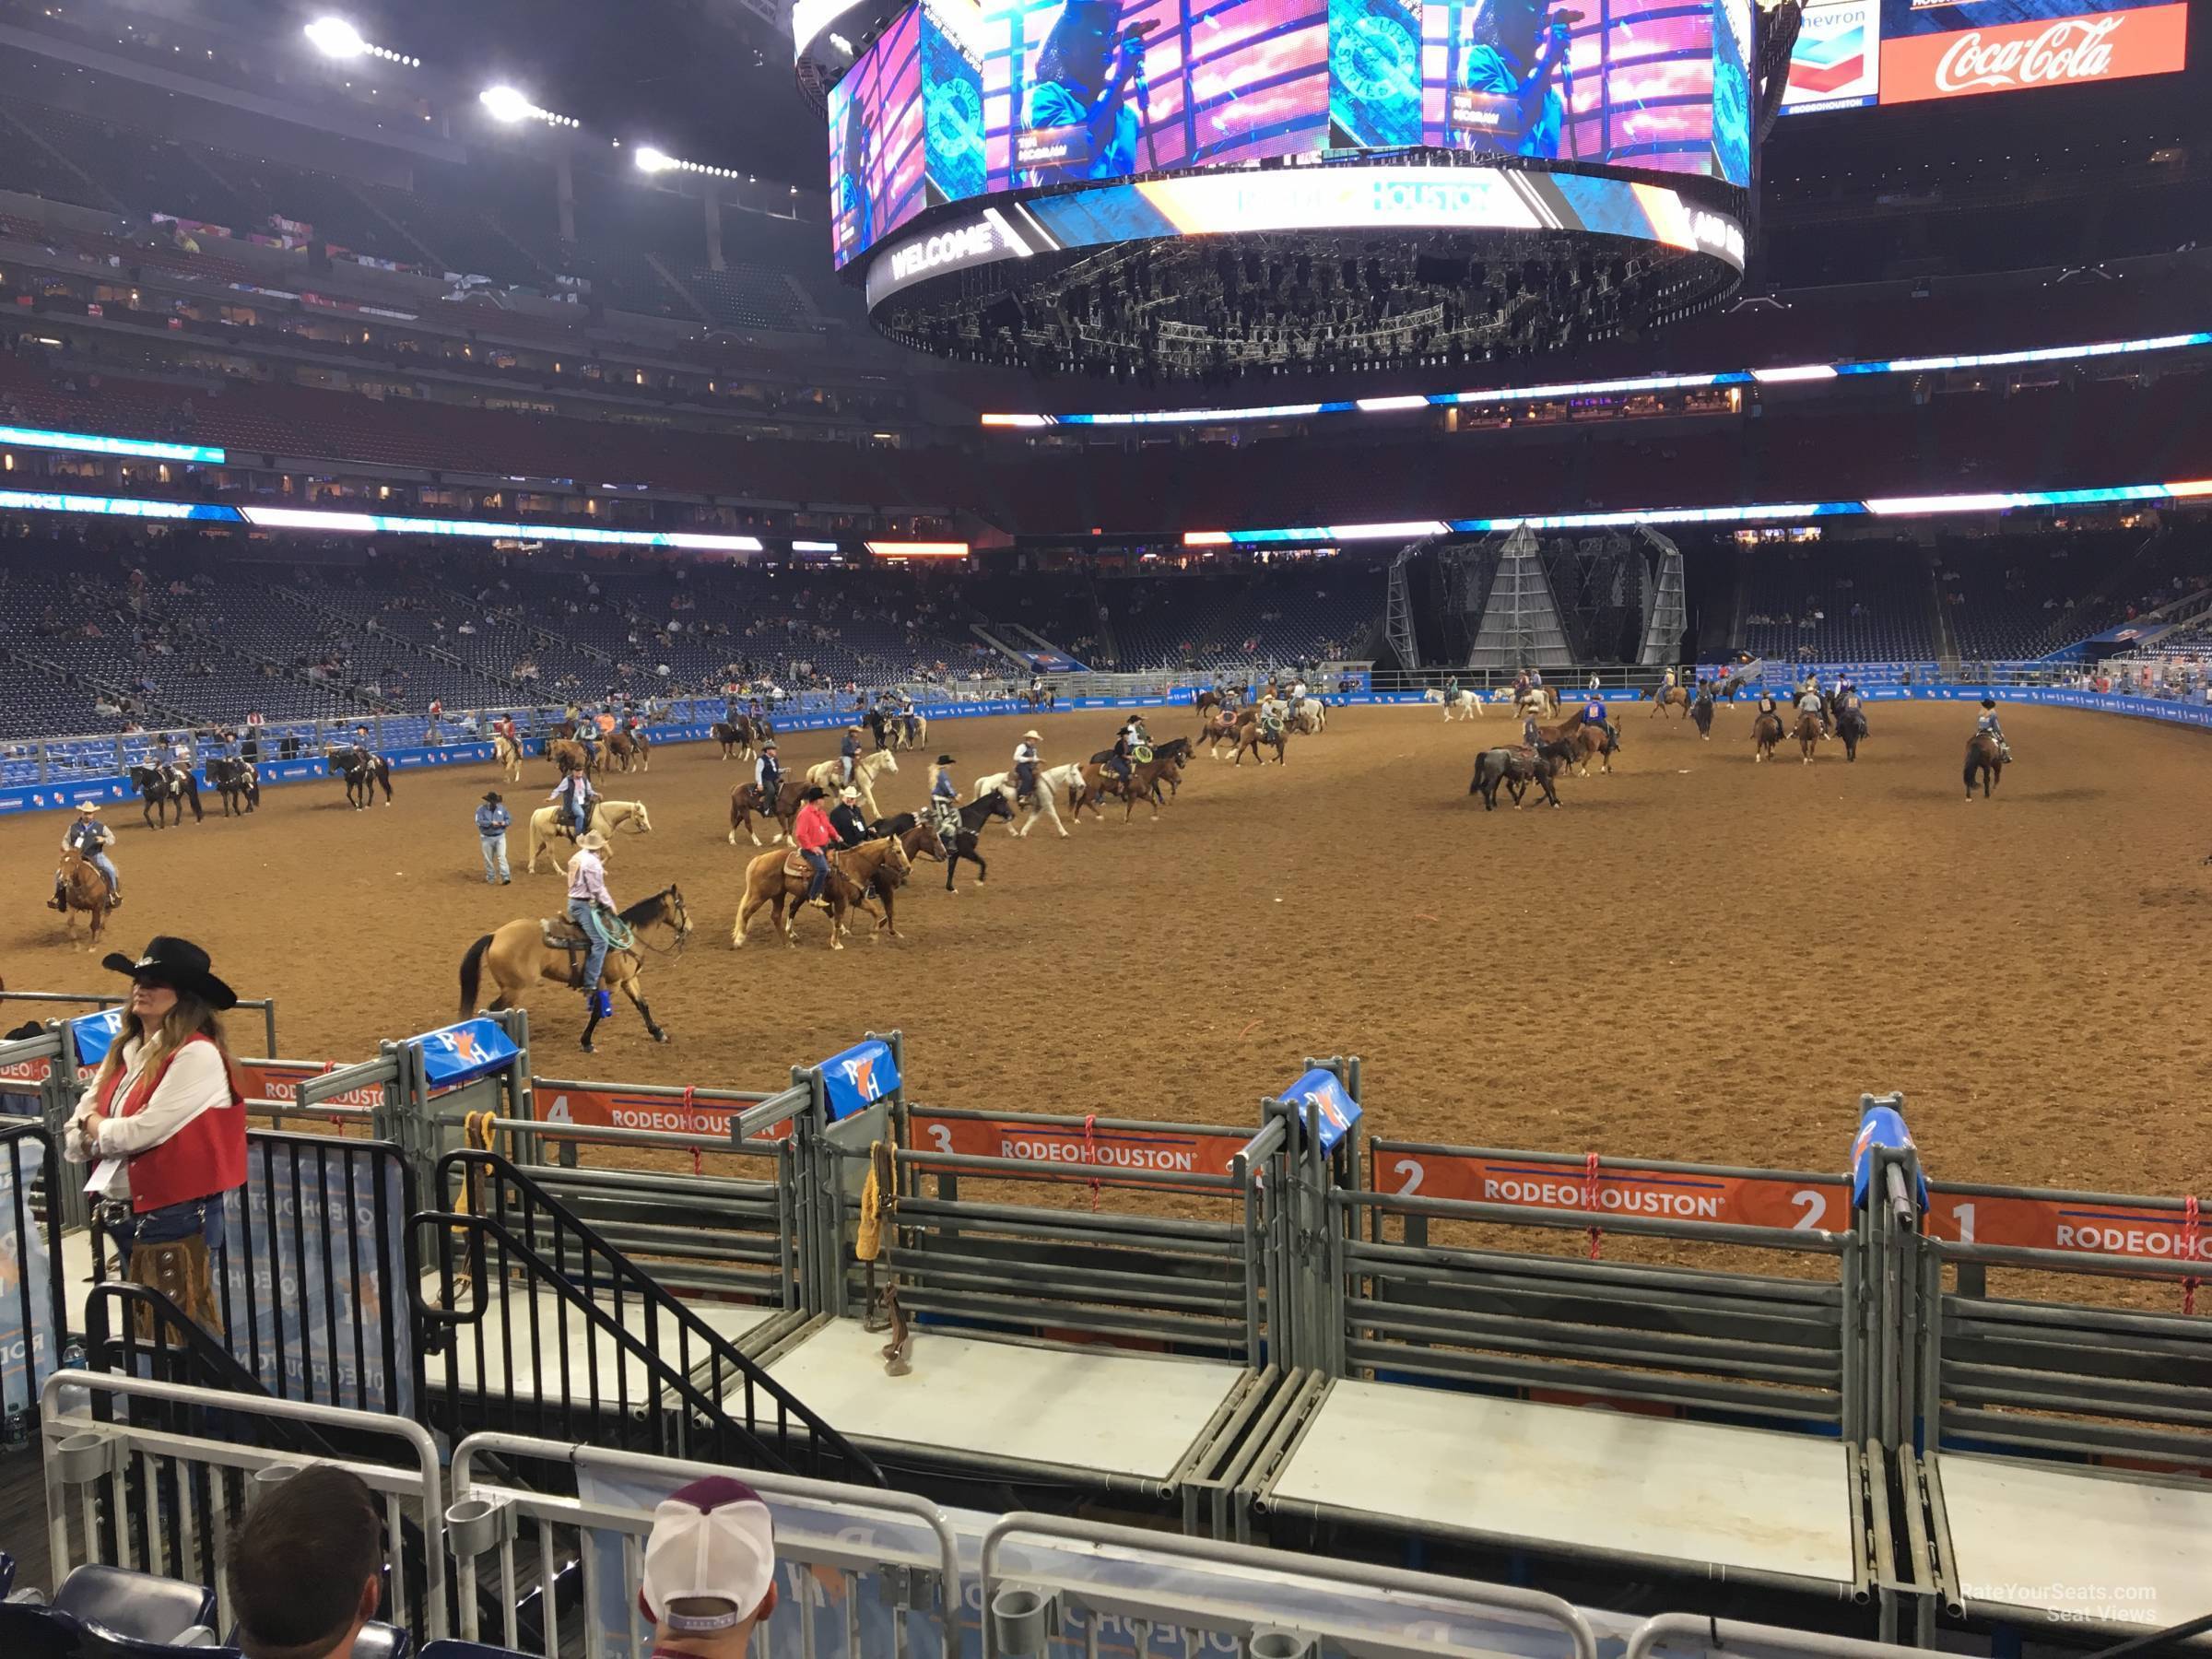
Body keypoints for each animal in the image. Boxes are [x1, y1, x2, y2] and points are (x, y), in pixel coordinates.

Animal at [453, 885, 686, 1053]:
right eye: (681, 905)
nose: (689, 928)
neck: (625, 938)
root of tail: (495, 935)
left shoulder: (628, 980)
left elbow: (642, 1005)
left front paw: (658, 1033)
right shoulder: (612, 984)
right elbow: (598, 1012)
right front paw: (586, 1042)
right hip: (514, 989)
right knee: (494, 1009)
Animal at [524, 800, 650, 876]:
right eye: (642, 815)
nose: (648, 828)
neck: (605, 816)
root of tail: (539, 811)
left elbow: (599, 855)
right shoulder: (602, 840)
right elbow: (610, 854)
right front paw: (602, 869)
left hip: (545, 839)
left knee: (536, 851)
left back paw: (531, 868)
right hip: (549, 839)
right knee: (550, 855)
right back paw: (561, 872)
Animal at [734, 836, 907, 955]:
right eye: (898, 851)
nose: (908, 869)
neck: (853, 865)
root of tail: (759, 859)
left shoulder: (857, 899)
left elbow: (874, 911)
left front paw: (873, 936)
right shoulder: (841, 900)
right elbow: (837, 920)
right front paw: (836, 943)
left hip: (778, 895)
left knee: (776, 915)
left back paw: (788, 942)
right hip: (760, 895)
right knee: (746, 912)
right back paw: (739, 940)